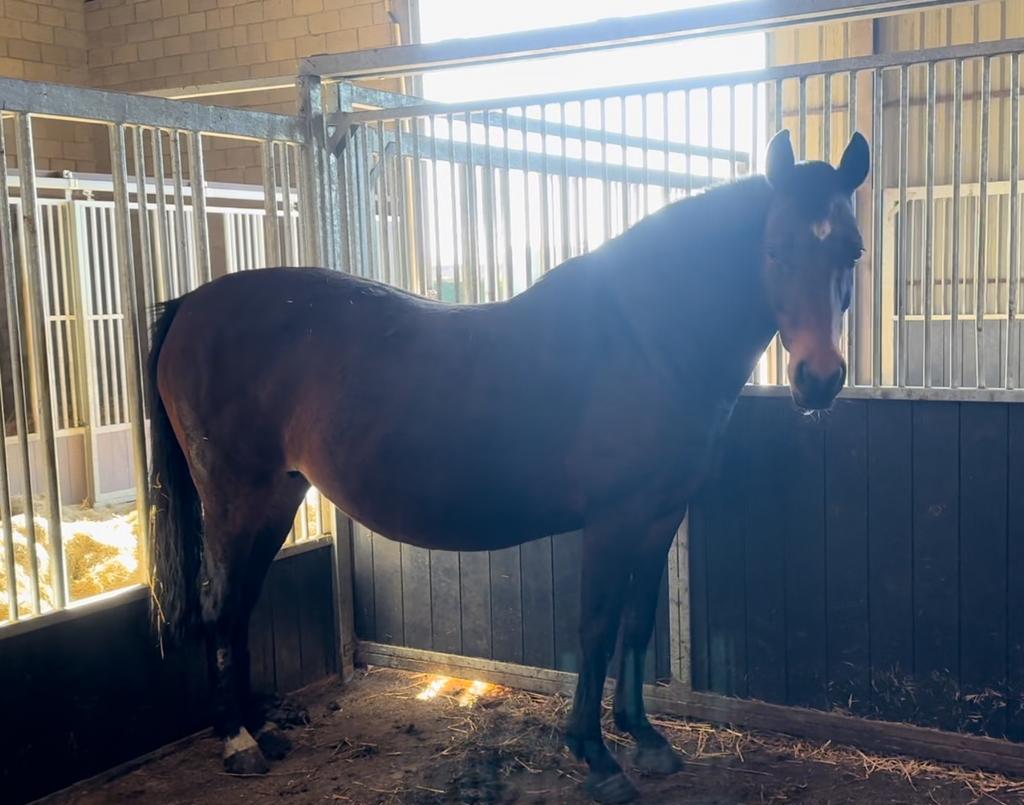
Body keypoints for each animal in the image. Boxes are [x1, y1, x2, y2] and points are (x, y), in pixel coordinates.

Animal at [146, 128, 869, 804]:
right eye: (774, 249)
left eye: (853, 250)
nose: (819, 379)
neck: (644, 340)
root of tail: (189, 304)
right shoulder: (612, 520)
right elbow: (597, 627)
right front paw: (596, 757)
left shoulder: (660, 515)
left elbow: (638, 623)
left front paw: (645, 738)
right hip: (236, 497)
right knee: (221, 602)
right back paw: (238, 741)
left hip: (278, 496)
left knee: (240, 604)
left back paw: (261, 731)